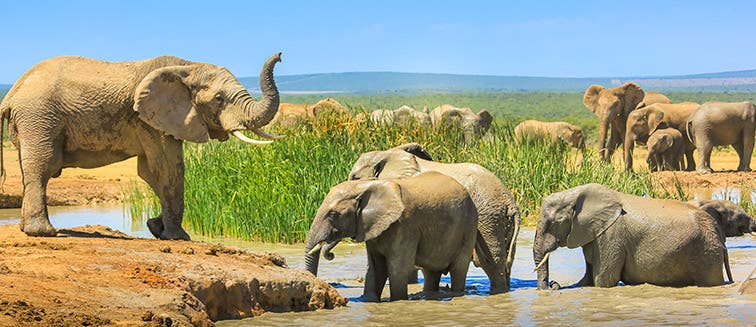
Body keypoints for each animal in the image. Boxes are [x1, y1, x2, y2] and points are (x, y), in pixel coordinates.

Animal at [0, 53, 284, 238]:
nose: (280, 55)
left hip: (30, 122)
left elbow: (150, 172)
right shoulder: (149, 119)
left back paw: (28, 229)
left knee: (30, 170)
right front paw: (178, 237)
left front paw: (155, 227)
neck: (187, 66)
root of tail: (11, 94)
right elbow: (168, 168)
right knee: (42, 168)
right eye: (219, 99)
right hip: (39, 118)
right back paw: (44, 233)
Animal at [302, 172, 476, 302]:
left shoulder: (405, 225)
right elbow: (376, 268)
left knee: (458, 269)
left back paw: (455, 294)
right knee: (431, 272)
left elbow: (397, 268)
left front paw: (397, 301)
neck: (366, 186)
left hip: (468, 228)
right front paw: (368, 301)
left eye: (333, 214)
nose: (330, 254)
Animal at [344, 144, 516, 294]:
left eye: (355, 178)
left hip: (489, 220)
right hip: (501, 222)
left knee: (491, 261)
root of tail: (511, 203)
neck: (387, 154)